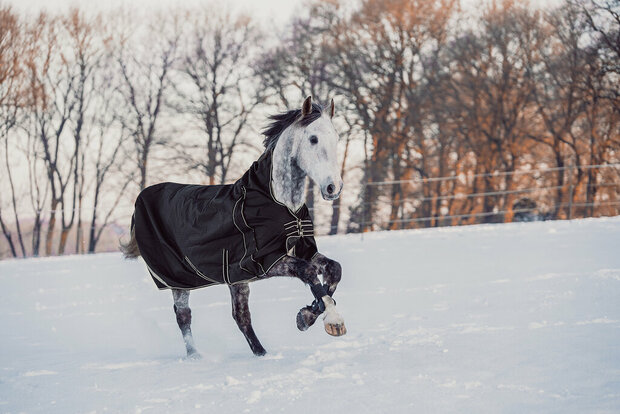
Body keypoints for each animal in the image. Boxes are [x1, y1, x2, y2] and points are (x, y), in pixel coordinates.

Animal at [118, 95, 346, 358]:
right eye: (313, 138)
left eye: (336, 138)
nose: (333, 187)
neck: (278, 201)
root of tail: (141, 199)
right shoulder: (266, 260)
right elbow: (307, 272)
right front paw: (332, 321)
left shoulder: (302, 250)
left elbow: (334, 269)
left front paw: (306, 316)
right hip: (178, 280)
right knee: (184, 316)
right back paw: (195, 356)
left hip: (235, 282)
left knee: (241, 317)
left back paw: (261, 354)